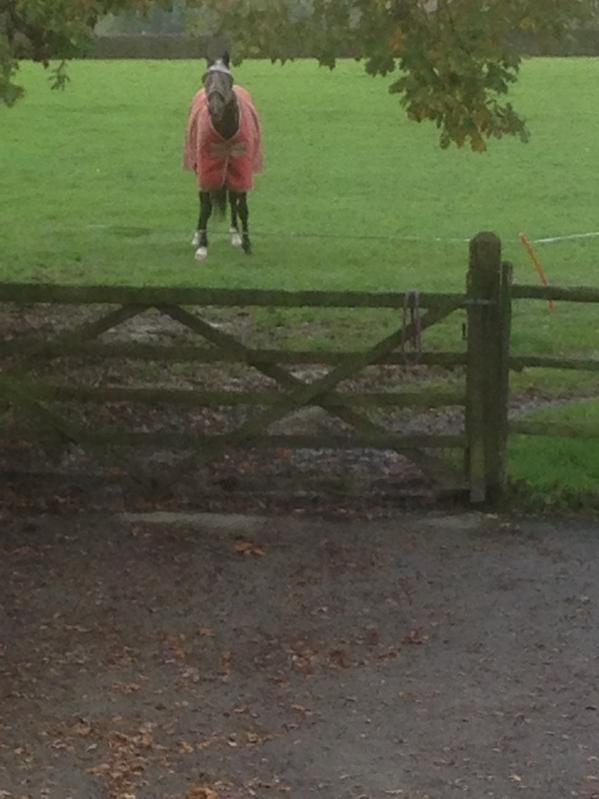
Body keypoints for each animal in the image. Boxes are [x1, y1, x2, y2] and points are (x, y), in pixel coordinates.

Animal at [184, 54, 264, 266]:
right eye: (206, 79)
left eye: (228, 80)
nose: (215, 108)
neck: (226, 132)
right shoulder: (206, 169)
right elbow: (206, 207)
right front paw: (202, 247)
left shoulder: (242, 170)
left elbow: (242, 207)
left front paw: (247, 244)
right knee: (204, 201)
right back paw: (197, 236)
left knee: (232, 199)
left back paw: (235, 235)